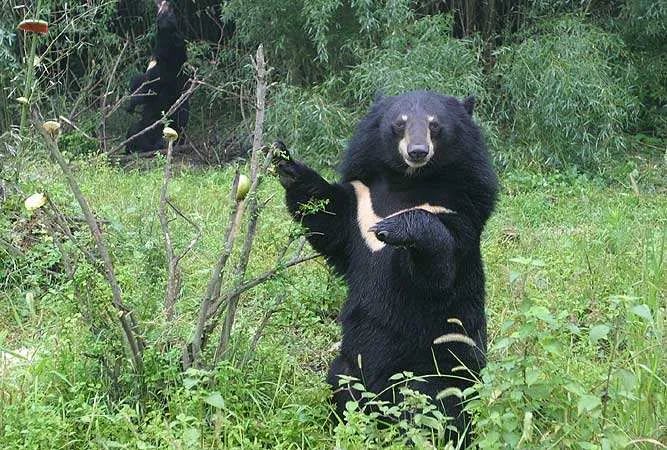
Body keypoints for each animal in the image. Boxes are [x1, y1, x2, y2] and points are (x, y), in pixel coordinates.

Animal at [124, 0, 188, 153]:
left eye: (168, 12)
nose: (165, 3)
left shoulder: (159, 74)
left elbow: (142, 87)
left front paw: (130, 103)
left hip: (147, 128)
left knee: (134, 132)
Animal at [274, 91, 498, 446]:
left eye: (435, 125)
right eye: (400, 123)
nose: (417, 152)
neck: (409, 183)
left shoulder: (459, 207)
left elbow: (440, 268)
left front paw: (394, 228)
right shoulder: (360, 203)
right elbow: (328, 220)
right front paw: (285, 161)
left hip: (436, 367)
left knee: (434, 407)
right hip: (350, 365)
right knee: (345, 389)